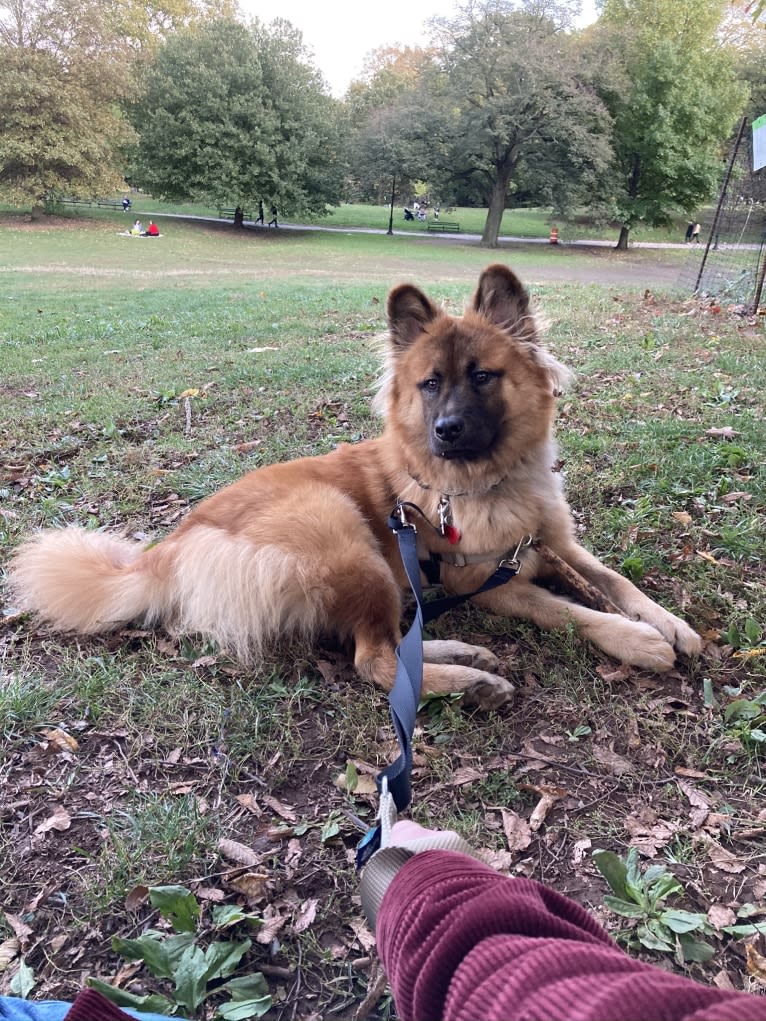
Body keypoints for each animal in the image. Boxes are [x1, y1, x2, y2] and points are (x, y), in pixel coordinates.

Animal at [7, 265, 702, 710]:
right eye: (430, 384)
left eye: (482, 376)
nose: (446, 431)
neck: (483, 484)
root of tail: (169, 552)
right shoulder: (482, 581)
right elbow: (565, 609)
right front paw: (637, 641)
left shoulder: (552, 542)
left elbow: (616, 582)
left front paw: (670, 624)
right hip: (348, 536)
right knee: (375, 660)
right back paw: (470, 682)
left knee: (390, 643)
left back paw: (463, 656)